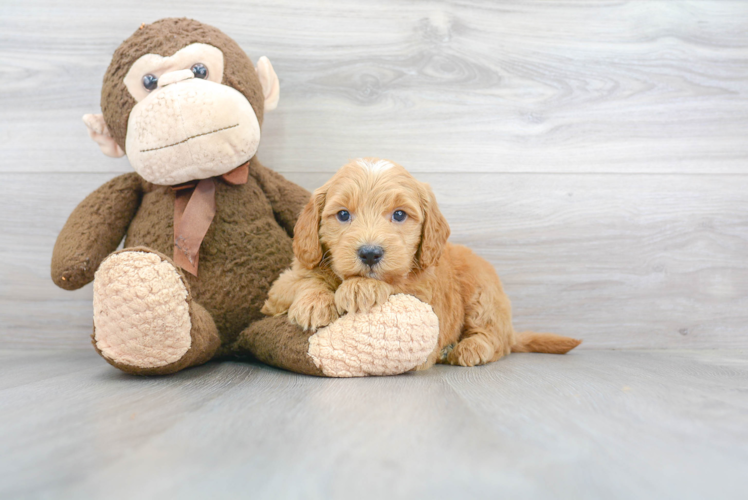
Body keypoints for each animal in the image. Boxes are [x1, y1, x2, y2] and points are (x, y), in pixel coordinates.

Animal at [262, 158, 580, 370]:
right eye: (342, 215)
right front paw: (314, 301)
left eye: (399, 215)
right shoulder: (283, 283)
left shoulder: (424, 296)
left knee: (496, 339)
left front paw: (361, 288)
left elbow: (394, 287)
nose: (370, 253)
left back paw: (469, 348)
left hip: (482, 292)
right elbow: (302, 279)